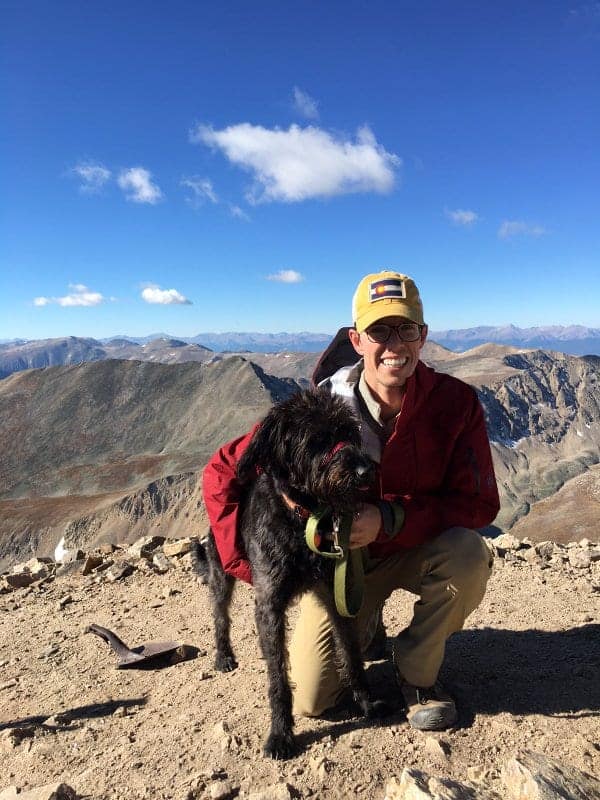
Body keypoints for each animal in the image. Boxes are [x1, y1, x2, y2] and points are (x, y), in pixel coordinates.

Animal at [204, 390, 386, 760]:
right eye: (317, 438)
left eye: (349, 431)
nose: (365, 471)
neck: (304, 518)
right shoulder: (270, 603)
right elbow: (277, 678)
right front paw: (281, 734)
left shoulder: (336, 591)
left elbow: (350, 652)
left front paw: (366, 703)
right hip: (221, 572)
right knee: (220, 615)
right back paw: (224, 655)